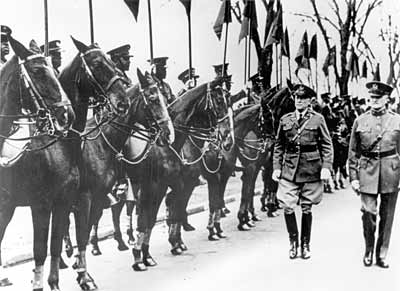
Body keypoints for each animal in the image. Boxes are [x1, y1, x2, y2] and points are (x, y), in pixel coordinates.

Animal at [0, 36, 130, 291]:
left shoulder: (67, 199)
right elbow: (43, 249)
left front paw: (68, 280)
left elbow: (58, 243)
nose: (122, 101)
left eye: (112, 62)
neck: (60, 145)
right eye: (97, 64)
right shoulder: (44, 204)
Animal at [123, 78, 231, 272]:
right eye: (219, 101)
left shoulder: (182, 183)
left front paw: (174, 243)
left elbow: (176, 210)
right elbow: (149, 218)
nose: (227, 138)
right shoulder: (157, 187)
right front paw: (140, 256)